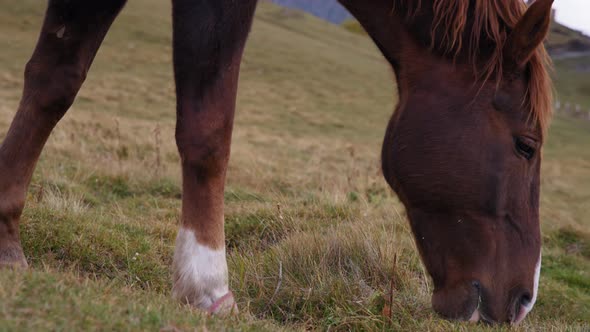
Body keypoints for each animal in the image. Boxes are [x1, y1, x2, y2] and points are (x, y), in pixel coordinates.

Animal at [0, 0, 556, 326]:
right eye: (526, 145)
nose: (526, 299)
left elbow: (55, 79)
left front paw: (6, 236)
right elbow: (207, 127)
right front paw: (207, 283)